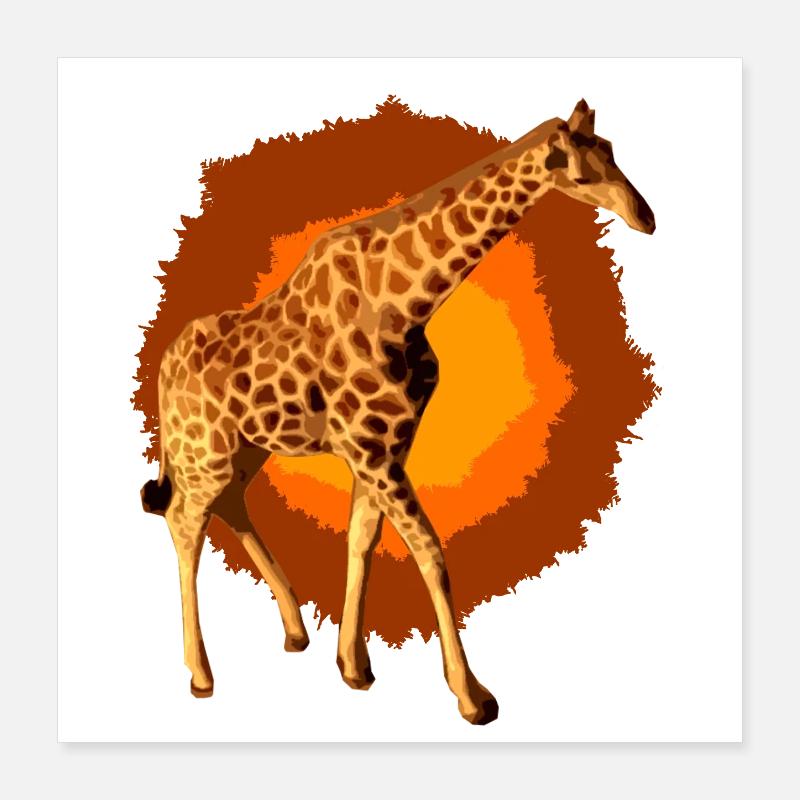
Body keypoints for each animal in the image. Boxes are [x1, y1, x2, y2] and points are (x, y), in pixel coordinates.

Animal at [141, 99, 655, 725]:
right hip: (203, 449)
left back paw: (294, 630)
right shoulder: (370, 449)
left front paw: (353, 667)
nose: (646, 217)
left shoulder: (386, 445)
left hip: (244, 447)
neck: (407, 304)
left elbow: (362, 539)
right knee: (183, 521)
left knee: (229, 505)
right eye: (579, 173)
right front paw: (472, 696)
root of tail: (162, 371)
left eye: (612, 150)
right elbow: (430, 552)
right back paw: (201, 675)